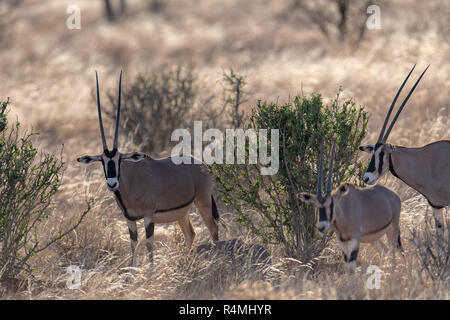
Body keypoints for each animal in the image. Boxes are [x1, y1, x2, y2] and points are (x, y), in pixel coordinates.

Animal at [76, 71, 220, 268]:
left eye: (119, 160)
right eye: (101, 161)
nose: (112, 184)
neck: (130, 182)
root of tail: (201, 164)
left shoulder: (149, 216)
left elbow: (149, 244)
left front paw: (150, 272)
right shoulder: (129, 219)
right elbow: (133, 244)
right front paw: (131, 272)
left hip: (203, 201)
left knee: (213, 229)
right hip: (182, 213)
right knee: (190, 234)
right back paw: (184, 261)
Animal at [298, 142, 400, 270]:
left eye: (331, 204)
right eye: (316, 205)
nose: (321, 227)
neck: (344, 213)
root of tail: (394, 196)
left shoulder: (355, 238)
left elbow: (352, 265)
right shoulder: (342, 240)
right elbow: (347, 265)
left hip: (392, 231)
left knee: (393, 254)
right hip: (374, 239)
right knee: (385, 252)